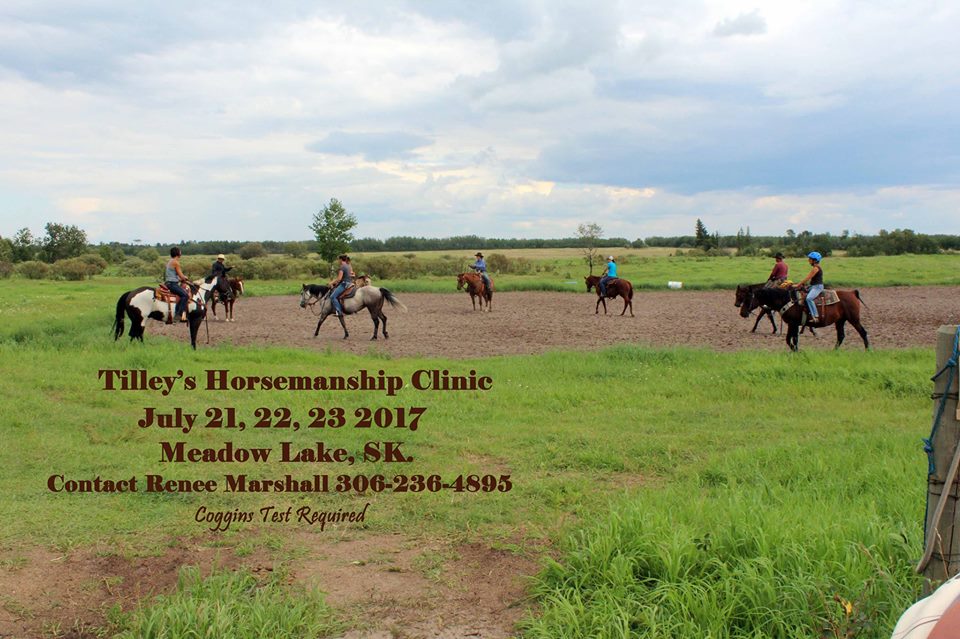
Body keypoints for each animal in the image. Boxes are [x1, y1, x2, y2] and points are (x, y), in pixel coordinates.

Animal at [744, 288, 872, 352]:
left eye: (748, 298)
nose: (743, 312)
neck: (787, 300)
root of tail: (852, 293)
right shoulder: (792, 324)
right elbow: (789, 339)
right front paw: (794, 350)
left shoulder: (793, 324)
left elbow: (793, 339)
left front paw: (796, 351)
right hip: (840, 321)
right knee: (841, 336)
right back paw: (833, 351)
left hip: (854, 319)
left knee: (863, 332)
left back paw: (868, 350)